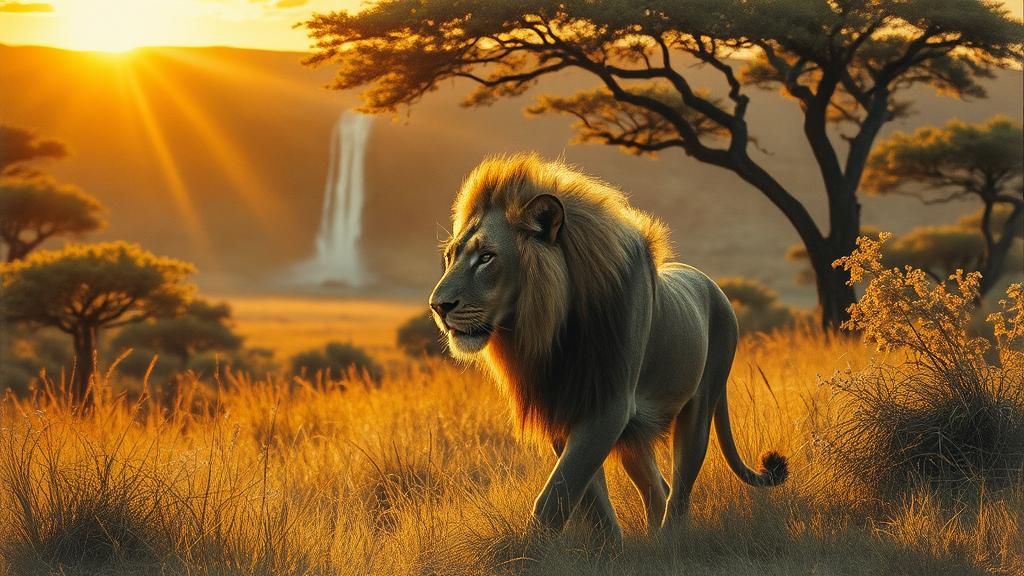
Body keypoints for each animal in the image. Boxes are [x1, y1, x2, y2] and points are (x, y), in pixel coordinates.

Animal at [429, 154, 788, 540]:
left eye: (486, 257)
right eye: (449, 257)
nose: (437, 306)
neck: (554, 332)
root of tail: (713, 284)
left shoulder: (609, 406)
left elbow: (554, 498)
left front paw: (530, 549)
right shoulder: (564, 408)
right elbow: (591, 502)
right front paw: (611, 547)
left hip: (700, 404)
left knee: (679, 492)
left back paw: (670, 541)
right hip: (635, 434)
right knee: (657, 488)